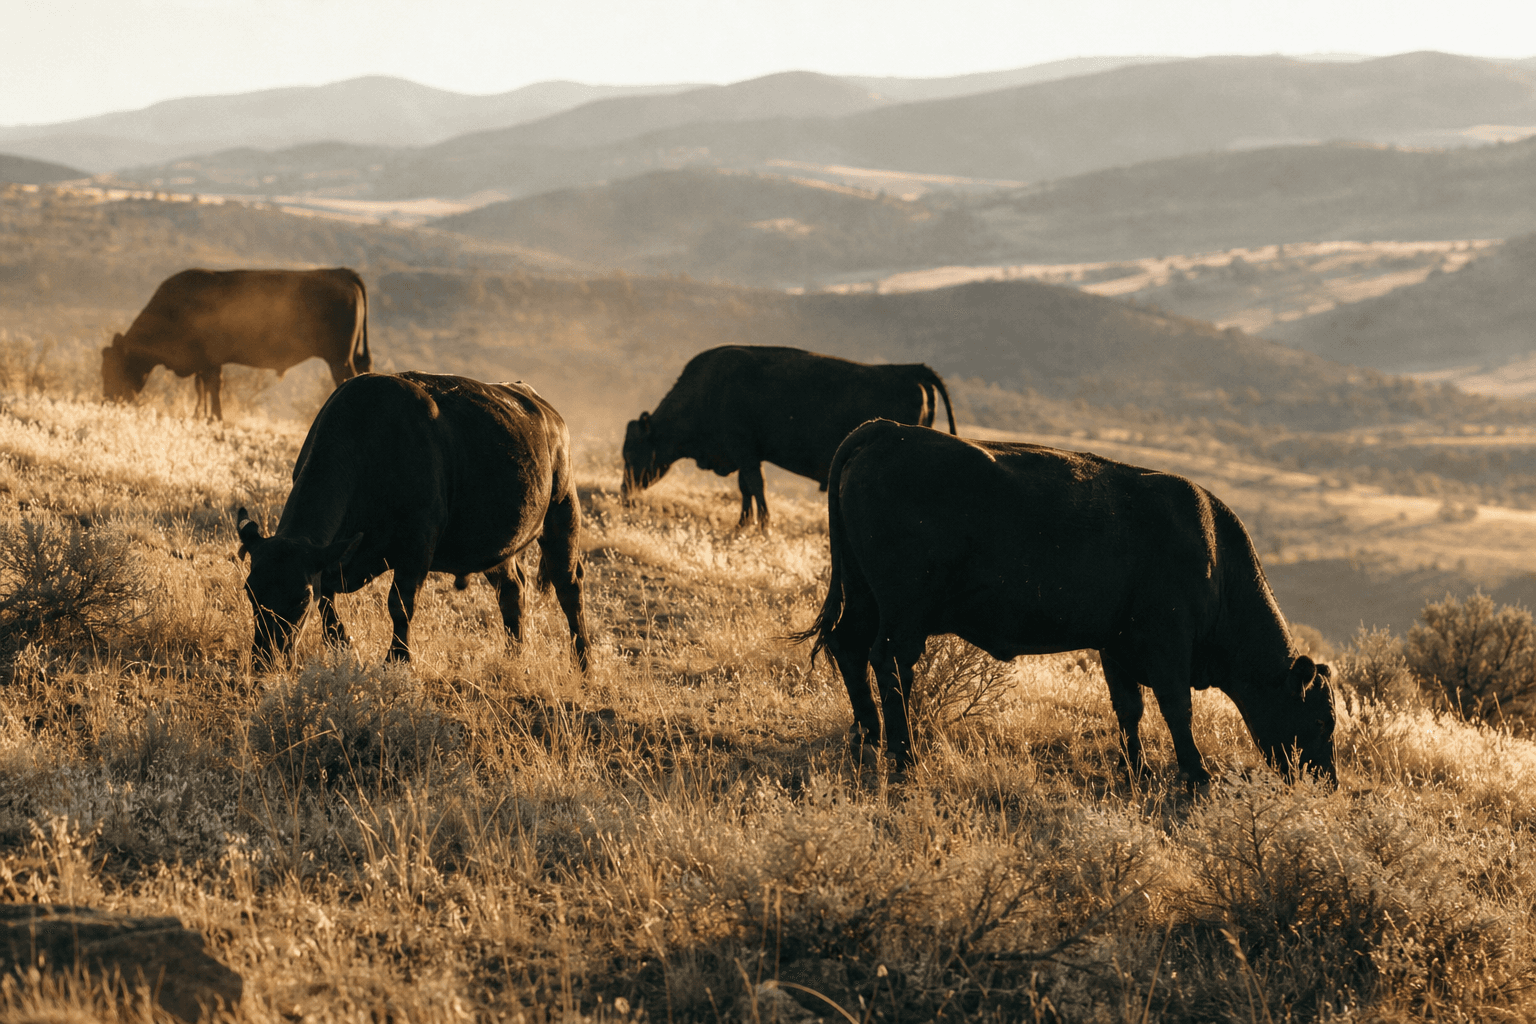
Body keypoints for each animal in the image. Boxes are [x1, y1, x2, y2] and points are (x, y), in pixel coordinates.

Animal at [102, 268, 371, 420]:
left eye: (112, 368)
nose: (107, 401)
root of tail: (341, 272)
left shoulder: (210, 360)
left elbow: (213, 386)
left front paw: (216, 418)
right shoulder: (202, 362)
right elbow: (202, 387)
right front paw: (201, 415)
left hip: (339, 359)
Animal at [236, 371, 590, 671]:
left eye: (300, 600)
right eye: (250, 592)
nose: (265, 661)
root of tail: (541, 405)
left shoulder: (417, 547)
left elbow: (400, 605)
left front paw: (398, 661)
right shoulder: (332, 561)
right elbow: (328, 601)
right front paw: (342, 644)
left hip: (562, 512)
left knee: (569, 588)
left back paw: (583, 664)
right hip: (497, 545)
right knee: (513, 590)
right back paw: (514, 657)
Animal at [622, 345, 956, 528]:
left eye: (632, 451)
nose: (625, 493)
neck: (707, 389)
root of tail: (912, 370)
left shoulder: (744, 450)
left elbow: (755, 486)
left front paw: (763, 526)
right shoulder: (746, 454)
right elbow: (746, 489)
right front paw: (743, 525)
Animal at [794, 420, 1336, 788]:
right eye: (1322, 721)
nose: (1325, 781)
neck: (1217, 562)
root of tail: (886, 430)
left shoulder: (1116, 645)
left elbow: (1129, 709)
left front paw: (1137, 770)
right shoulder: (1167, 644)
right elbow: (1176, 709)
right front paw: (1196, 776)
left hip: (864, 597)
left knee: (848, 646)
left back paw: (867, 738)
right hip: (904, 611)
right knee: (890, 665)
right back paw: (904, 757)